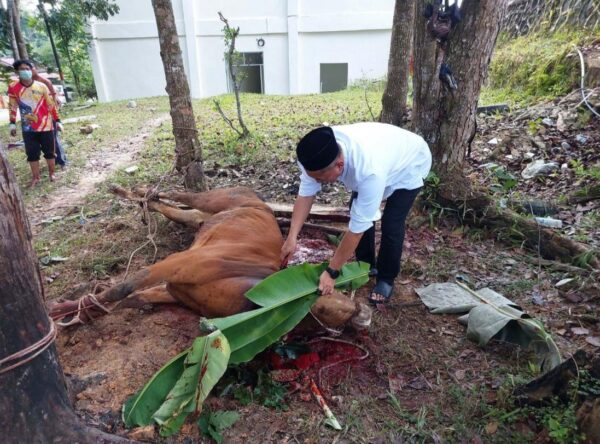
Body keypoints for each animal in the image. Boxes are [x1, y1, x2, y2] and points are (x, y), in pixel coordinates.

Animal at [48, 186, 366, 328]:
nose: (363, 313)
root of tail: (260, 200)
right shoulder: (179, 263)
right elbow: (124, 287)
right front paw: (61, 311)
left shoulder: (172, 289)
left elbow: (131, 298)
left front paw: (80, 314)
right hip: (214, 198)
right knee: (176, 193)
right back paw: (133, 189)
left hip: (199, 216)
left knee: (168, 207)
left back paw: (139, 197)